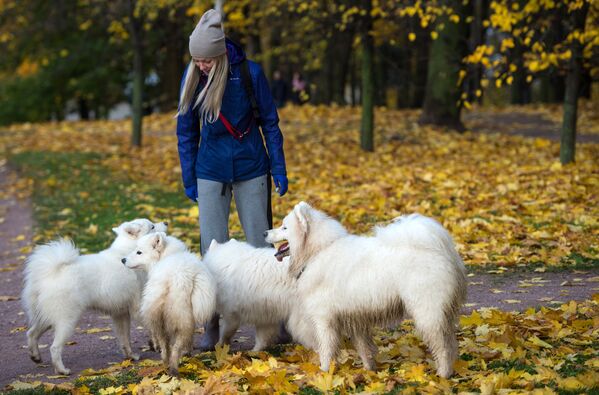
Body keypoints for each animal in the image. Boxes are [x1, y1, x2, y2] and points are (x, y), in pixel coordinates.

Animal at [22, 218, 168, 376]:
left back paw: (35, 356)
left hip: (47, 317)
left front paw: (130, 356)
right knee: (54, 347)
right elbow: (151, 328)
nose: (166, 222)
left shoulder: (120, 313)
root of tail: (49, 274)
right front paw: (157, 345)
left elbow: (125, 338)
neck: (126, 252)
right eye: (152, 226)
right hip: (67, 320)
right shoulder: (137, 308)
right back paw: (62, 370)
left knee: (31, 333)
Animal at [122, 234, 216, 376]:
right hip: (182, 320)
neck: (167, 256)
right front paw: (188, 352)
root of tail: (170, 278)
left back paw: (166, 364)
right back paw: (175, 368)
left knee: (165, 345)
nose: (123, 260)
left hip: (157, 317)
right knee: (176, 347)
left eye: (139, 252)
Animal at [268, 203, 468, 378]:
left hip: (427, 312)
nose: (265, 232)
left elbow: (326, 349)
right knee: (451, 343)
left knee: (442, 347)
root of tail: (441, 252)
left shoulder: (324, 319)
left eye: (284, 227)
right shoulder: (355, 317)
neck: (318, 251)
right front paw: (369, 370)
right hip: (443, 313)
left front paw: (324, 372)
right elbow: (364, 349)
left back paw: (443, 374)